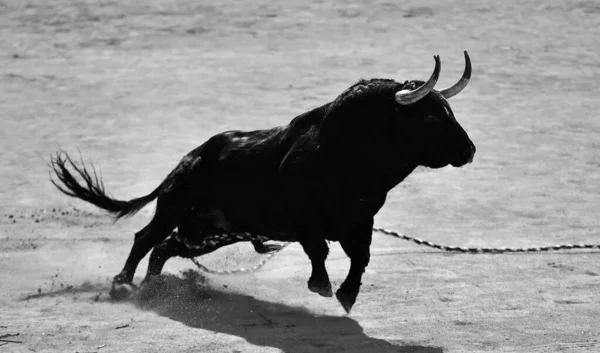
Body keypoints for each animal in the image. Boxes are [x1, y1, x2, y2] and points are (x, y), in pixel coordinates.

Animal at [50, 51, 474, 310]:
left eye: (449, 110)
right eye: (430, 117)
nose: (469, 150)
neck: (346, 155)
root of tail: (190, 158)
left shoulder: (361, 220)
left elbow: (361, 257)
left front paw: (348, 294)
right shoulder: (304, 217)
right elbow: (319, 250)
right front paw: (321, 286)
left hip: (210, 232)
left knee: (165, 248)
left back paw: (155, 288)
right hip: (176, 206)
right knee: (146, 238)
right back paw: (123, 284)